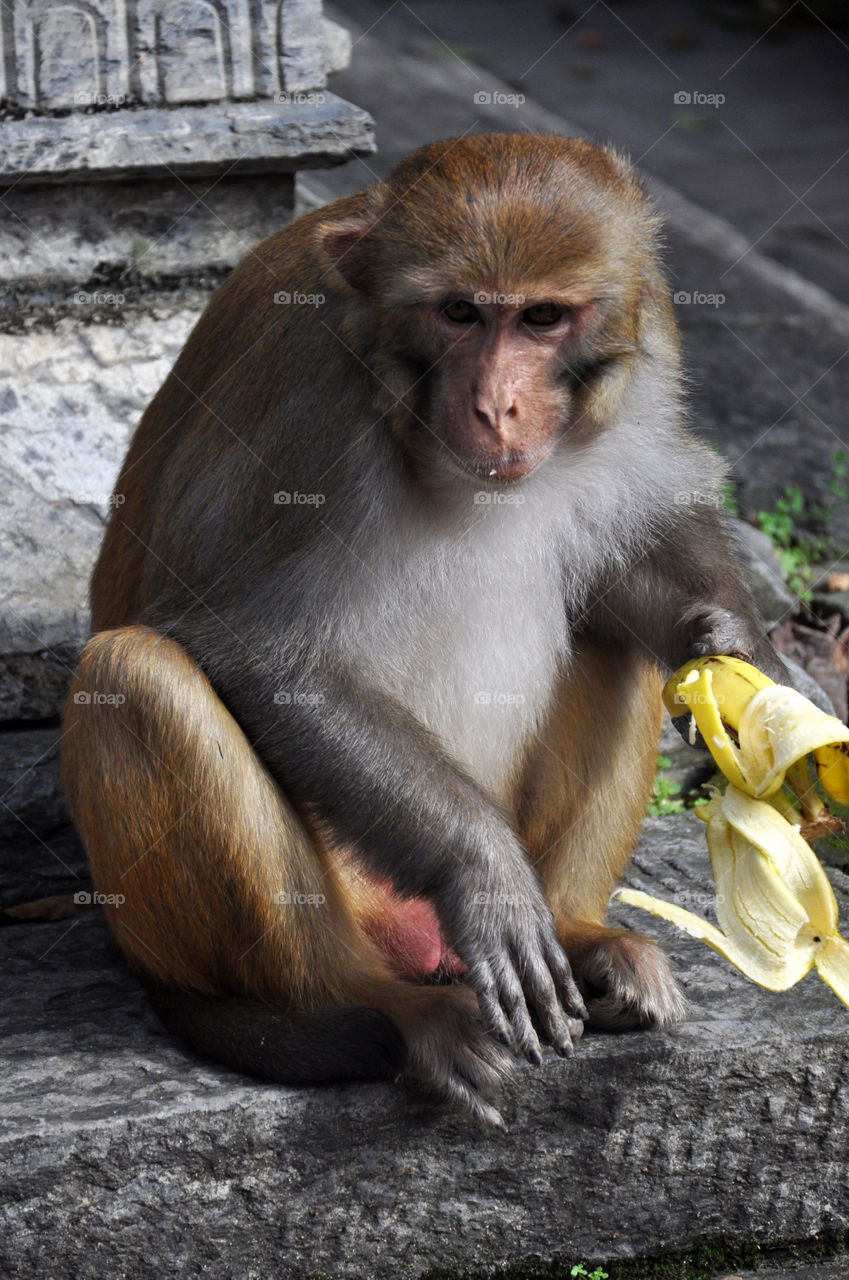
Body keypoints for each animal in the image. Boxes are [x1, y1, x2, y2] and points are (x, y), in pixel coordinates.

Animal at [61, 133, 790, 1126]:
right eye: (457, 313)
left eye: (542, 318)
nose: (495, 406)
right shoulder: (312, 399)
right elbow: (258, 649)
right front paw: (480, 872)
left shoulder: (652, 330)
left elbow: (637, 549)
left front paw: (730, 639)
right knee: (137, 674)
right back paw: (386, 1010)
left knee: (617, 634)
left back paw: (580, 935)